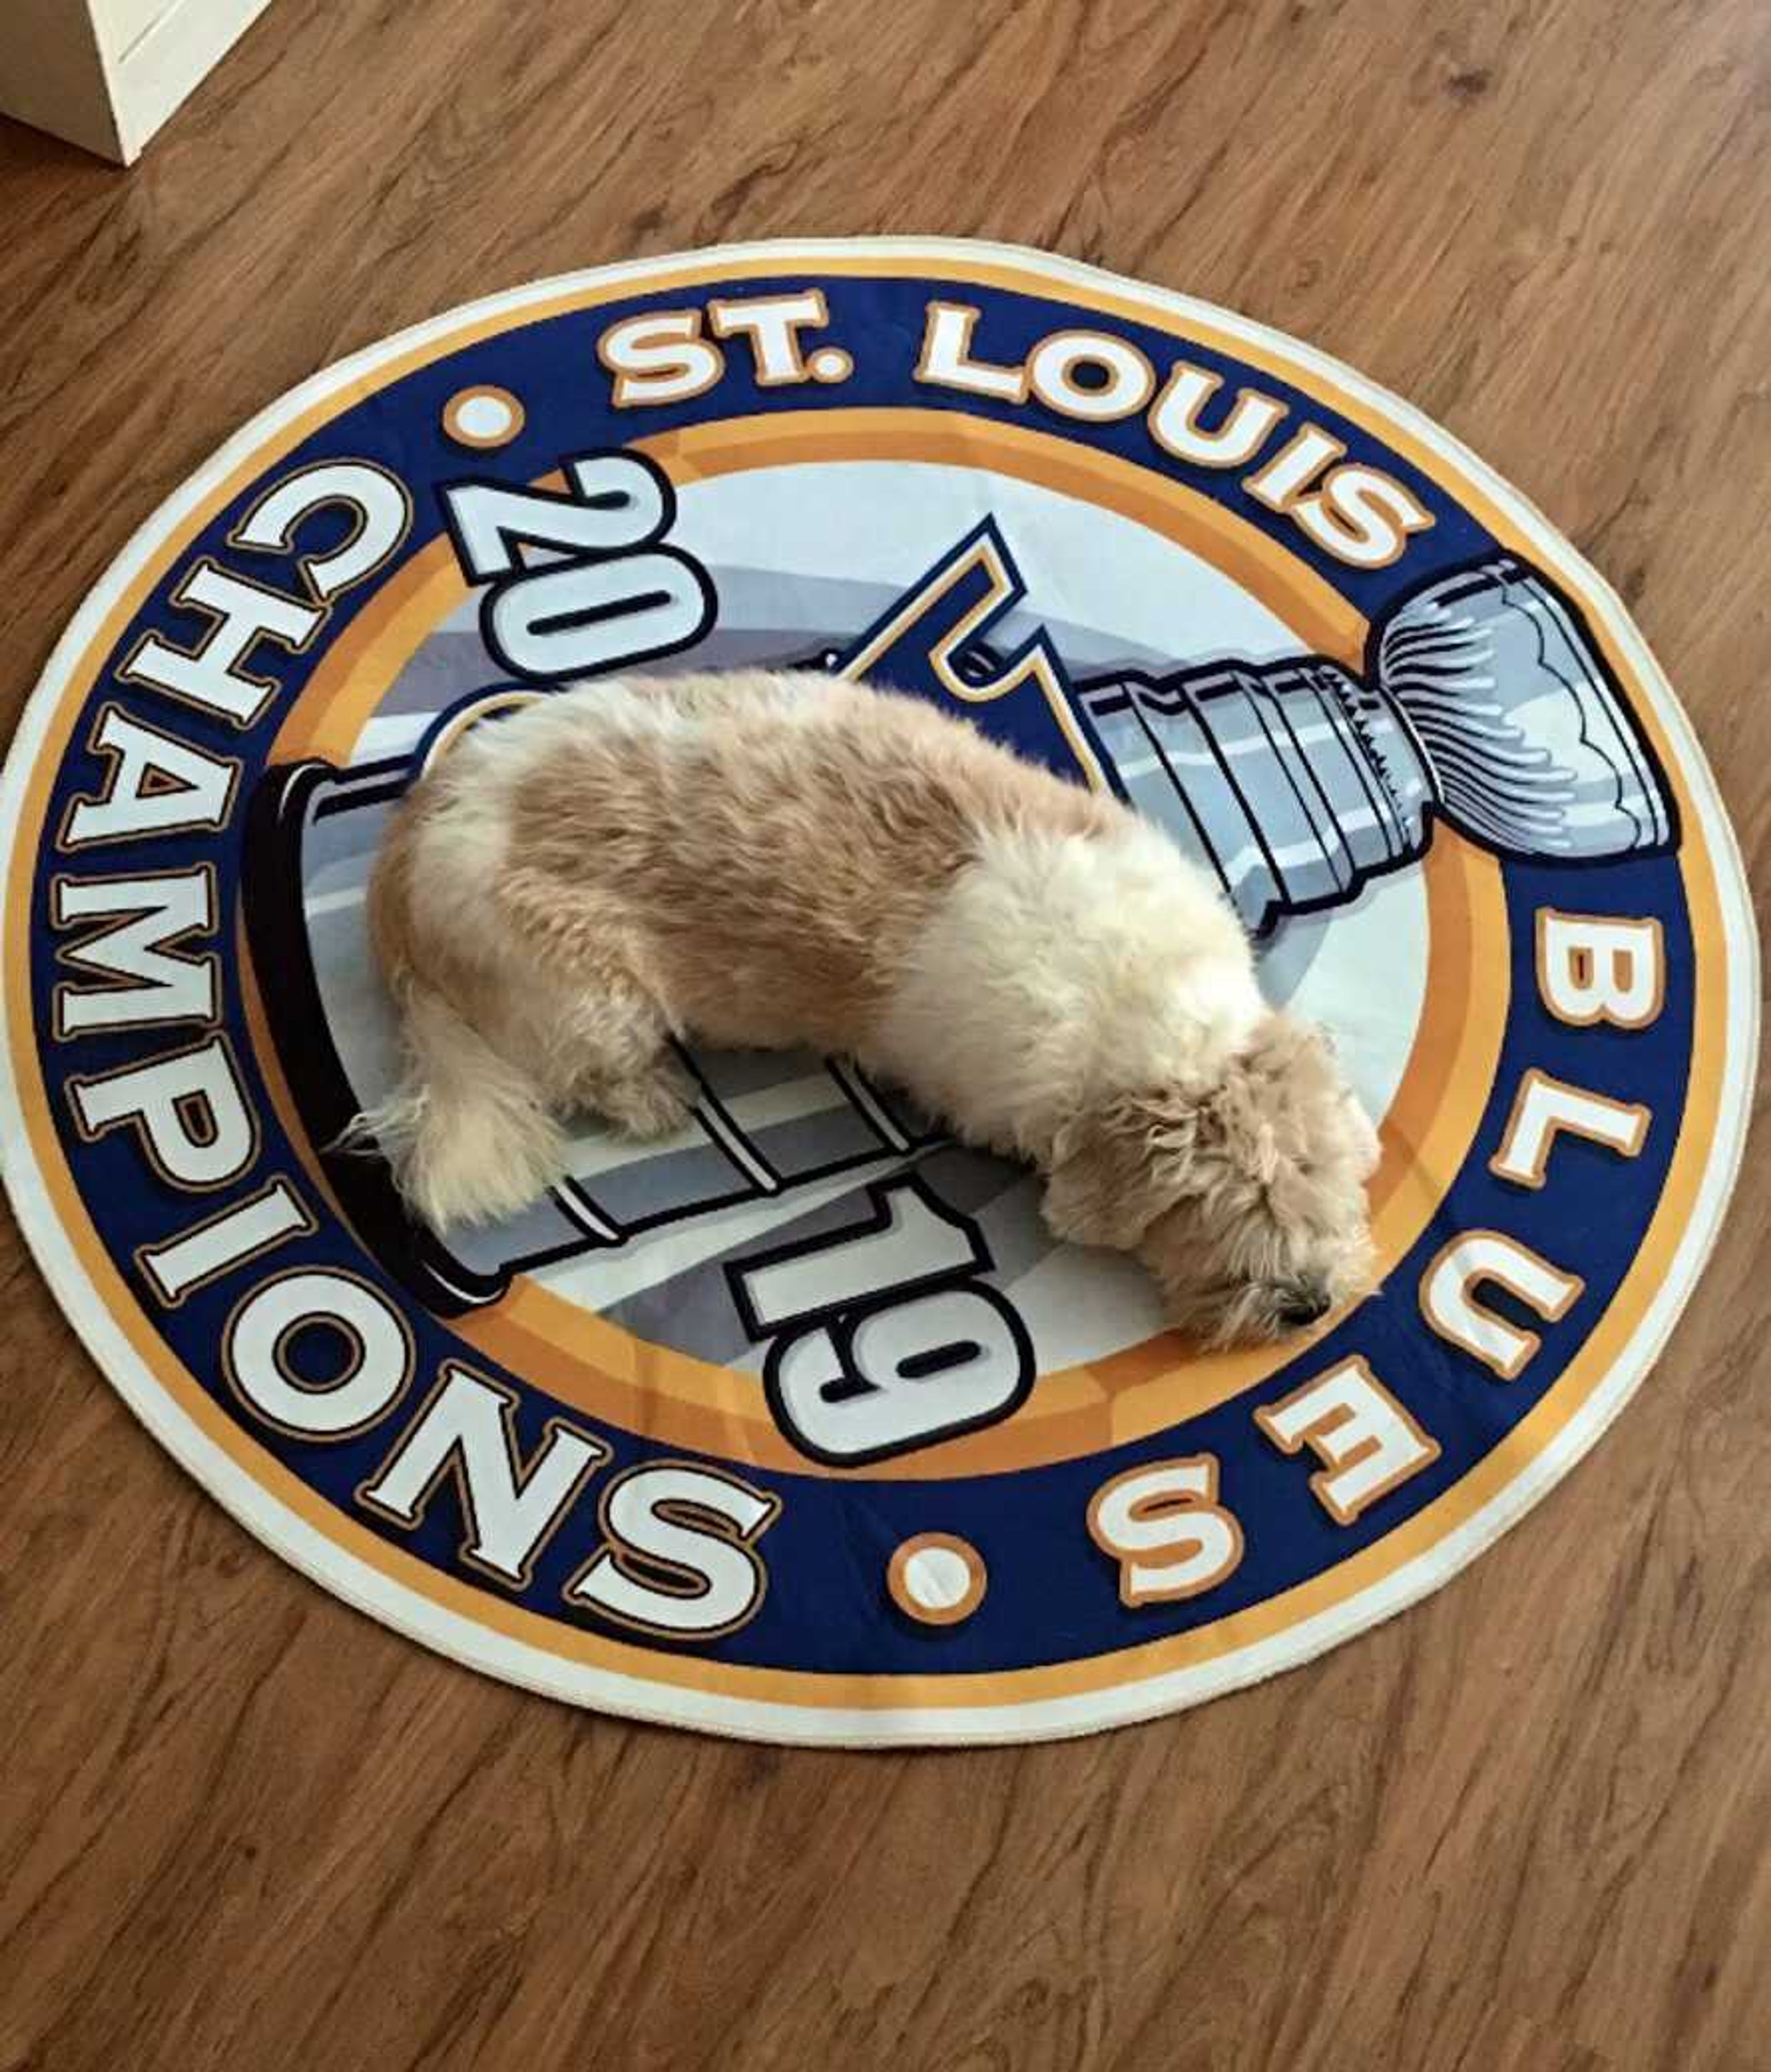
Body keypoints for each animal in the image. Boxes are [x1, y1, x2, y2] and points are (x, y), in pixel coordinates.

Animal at [364, 663, 1384, 1342]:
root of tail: (407, 858)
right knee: (592, 1069)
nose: (1307, 1305)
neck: (1159, 1015)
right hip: (590, 994)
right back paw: (657, 1097)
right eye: (1203, 1207)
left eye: (1322, 1172)